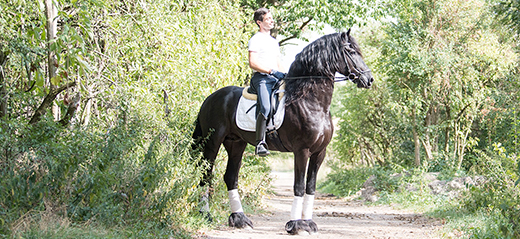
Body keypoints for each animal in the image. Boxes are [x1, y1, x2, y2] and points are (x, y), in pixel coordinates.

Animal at [193, 29, 372, 234]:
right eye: (351, 51)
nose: (369, 80)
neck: (312, 102)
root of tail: (210, 98)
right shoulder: (301, 150)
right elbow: (299, 186)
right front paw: (295, 224)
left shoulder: (320, 152)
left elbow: (311, 186)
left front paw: (308, 222)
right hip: (212, 141)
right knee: (205, 175)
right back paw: (206, 214)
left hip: (235, 143)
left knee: (231, 177)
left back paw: (239, 219)